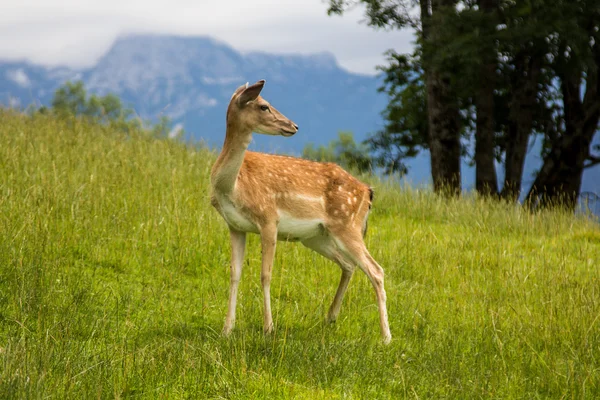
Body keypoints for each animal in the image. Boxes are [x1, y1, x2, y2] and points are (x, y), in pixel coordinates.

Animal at [209, 79, 392, 344]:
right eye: (264, 106)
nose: (294, 125)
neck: (232, 187)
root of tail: (367, 192)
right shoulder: (235, 226)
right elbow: (235, 273)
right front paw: (226, 330)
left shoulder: (268, 218)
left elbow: (265, 274)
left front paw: (268, 328)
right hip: (317, 237)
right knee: (349, 265)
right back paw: (330, 318)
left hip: (348, 226)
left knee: (376, 270)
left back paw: (386, 338)